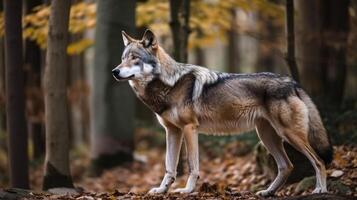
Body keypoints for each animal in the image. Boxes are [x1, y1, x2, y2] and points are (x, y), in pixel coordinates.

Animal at [111, 30, 330, 197]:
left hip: (289, 135)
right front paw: (162, 190)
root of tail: (292, 82)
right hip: (267, 136)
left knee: (318, 160)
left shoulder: (189, 129)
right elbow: (169, 167)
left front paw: (187, 190)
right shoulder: (172, 131)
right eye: (122, 59)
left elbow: (192, 166)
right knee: (287, 166)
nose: (114, 71)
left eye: (134, 58)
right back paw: (268, 192)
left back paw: (320, 190)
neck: (169, 84)